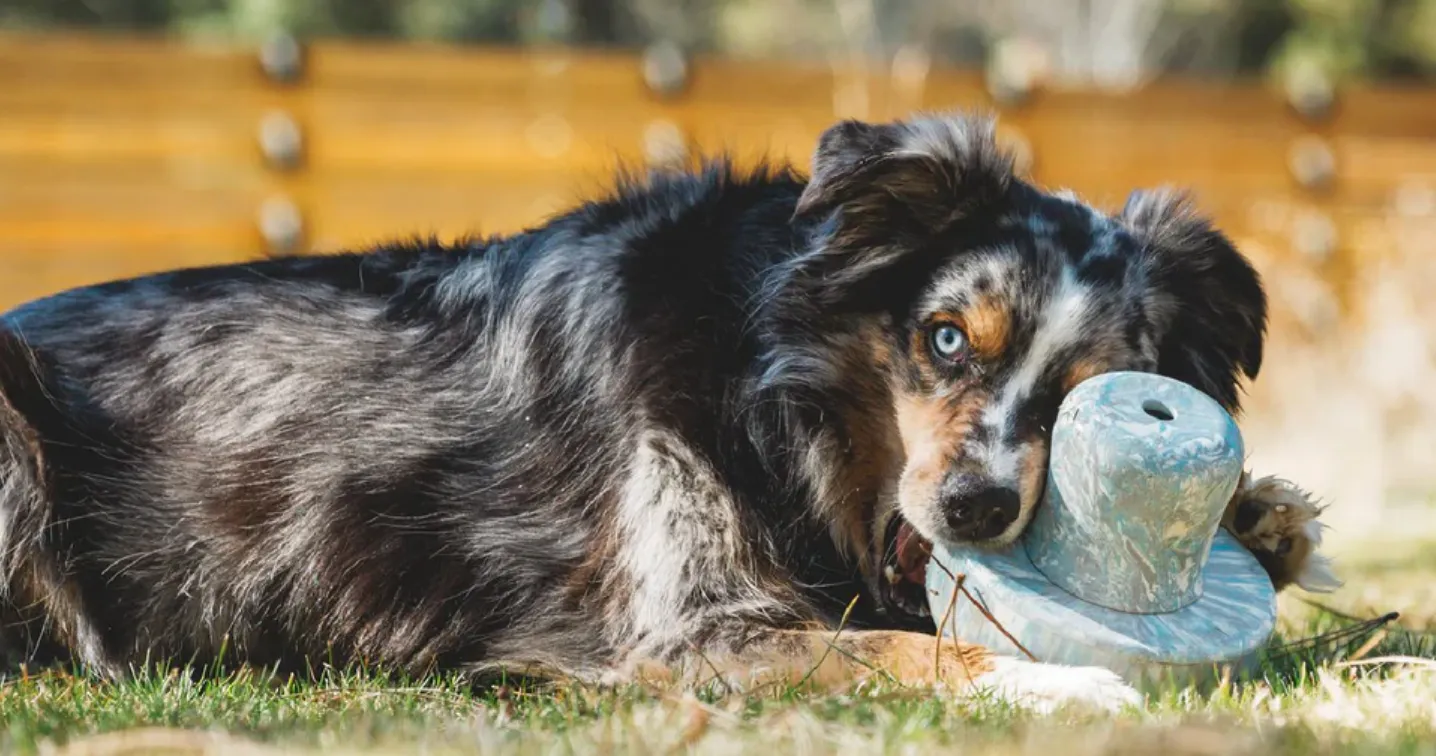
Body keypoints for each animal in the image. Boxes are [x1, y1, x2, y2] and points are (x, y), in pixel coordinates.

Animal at [0, 111, 1332, 712]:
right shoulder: (688, 631)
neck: (766, 386)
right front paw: (1067, 688)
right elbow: (918, 643)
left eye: (1085, 392)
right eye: (946, 337)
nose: (975, 506)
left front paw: (1261, 521)